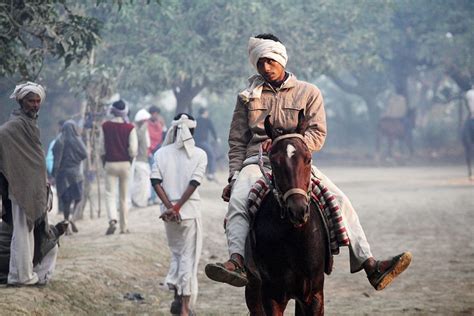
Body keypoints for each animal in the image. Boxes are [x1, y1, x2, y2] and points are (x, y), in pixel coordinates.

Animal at [246, 110, 328, 314]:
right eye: (275, 162)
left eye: (308, 158)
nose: (298, 210)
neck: (294, 237)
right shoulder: (271, 295)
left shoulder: (314, 295)